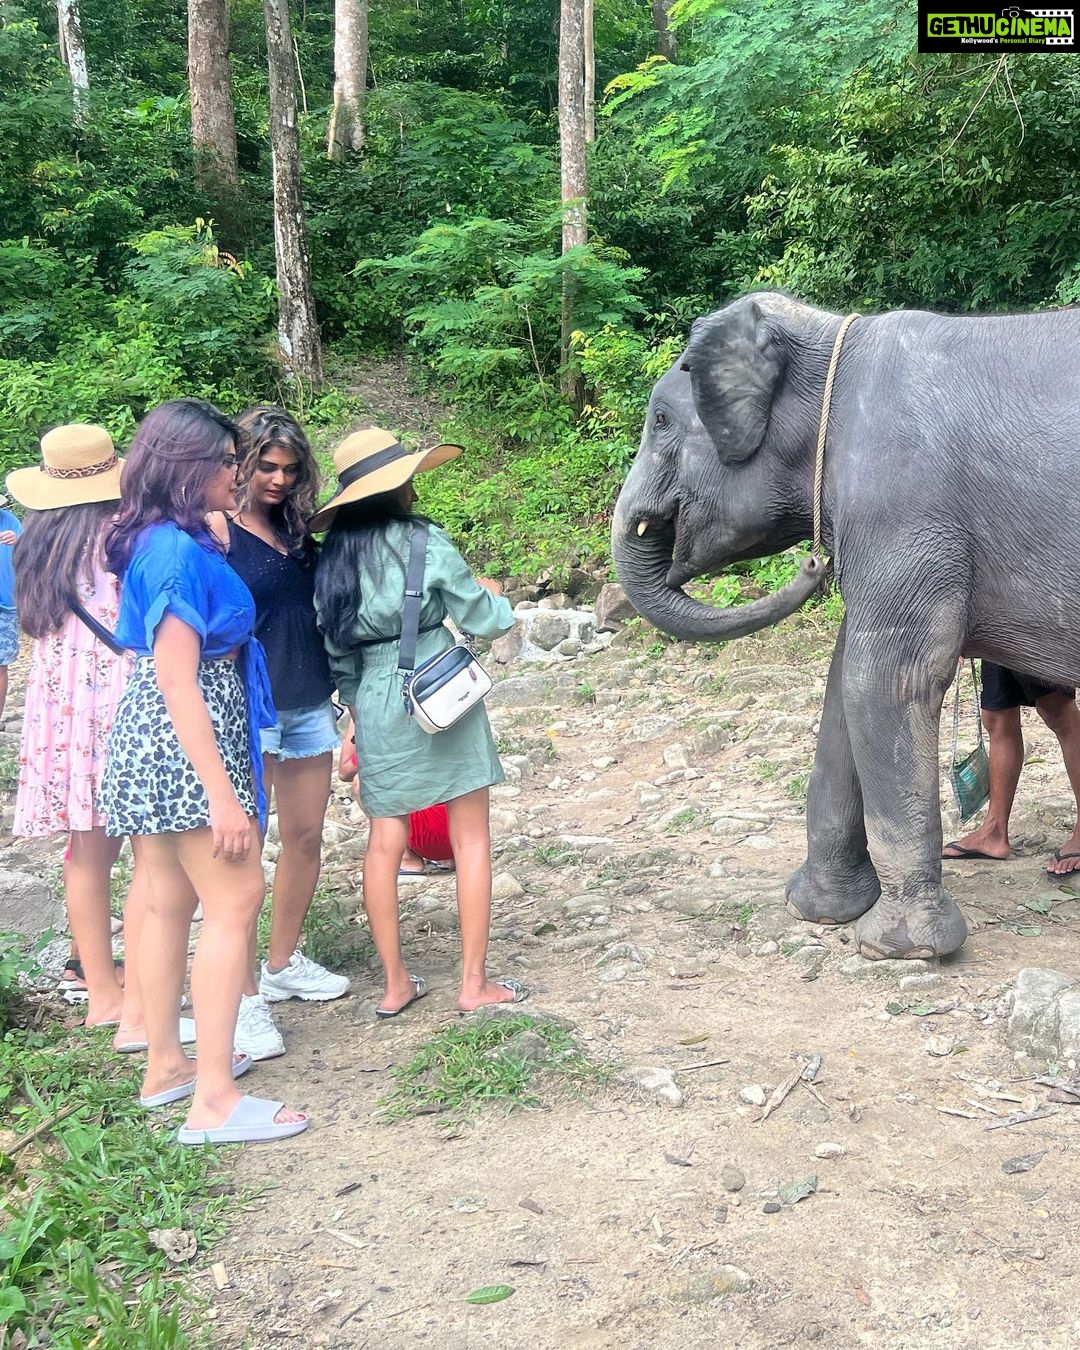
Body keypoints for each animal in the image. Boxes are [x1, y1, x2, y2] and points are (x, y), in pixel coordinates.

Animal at [611, 290, 1080, 960]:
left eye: (660, 421)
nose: (813, 565)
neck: (832, 336)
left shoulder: (901, 506)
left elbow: (886, 680)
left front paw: (900, 947)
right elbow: (844, 688)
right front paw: (818, 911)